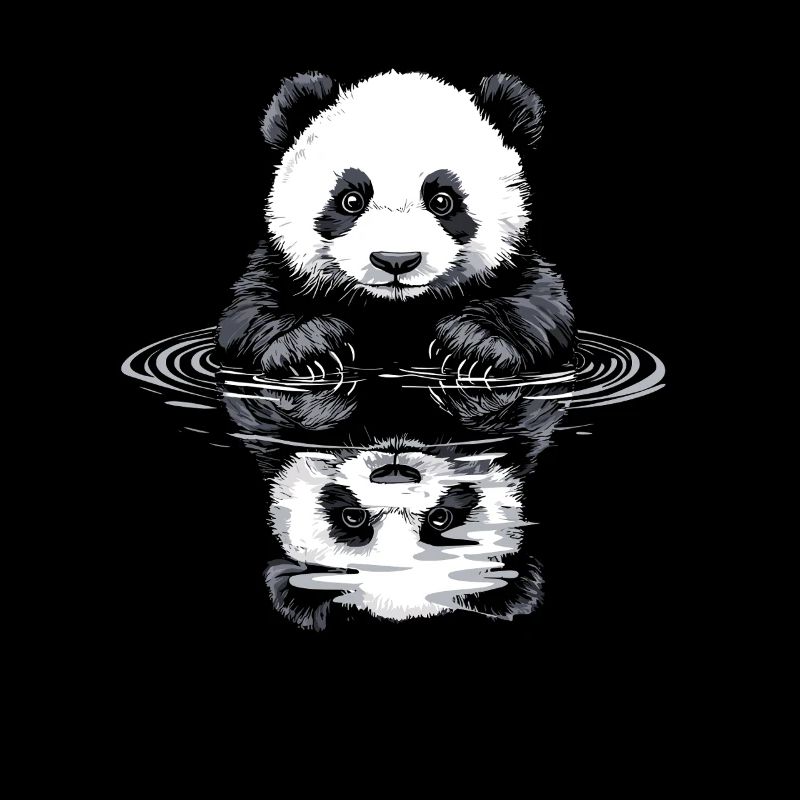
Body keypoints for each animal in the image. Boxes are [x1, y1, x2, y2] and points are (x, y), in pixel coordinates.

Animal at [217, 71, 574, 377]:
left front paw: (475, 347)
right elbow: (247, 313)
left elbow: (541, 307)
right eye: (351, 200)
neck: (394, 311)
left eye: (442, 200)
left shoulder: (517, 265)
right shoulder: (278, 265)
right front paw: (308, 348)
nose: (395, 261)